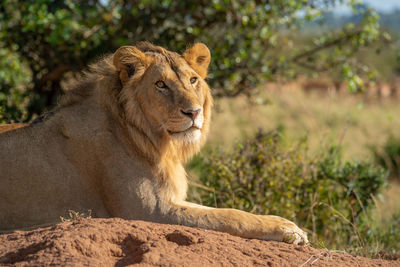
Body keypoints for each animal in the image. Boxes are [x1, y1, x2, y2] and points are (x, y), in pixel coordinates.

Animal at [0, 43, 308, 246]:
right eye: (161, 84)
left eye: (193, 80)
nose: (194, 112)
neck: (158, 143)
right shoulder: (146, 211)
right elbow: (229, 216)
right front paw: (290, 230)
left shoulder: (172, 199)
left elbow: (217, 211)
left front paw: (284, 221)